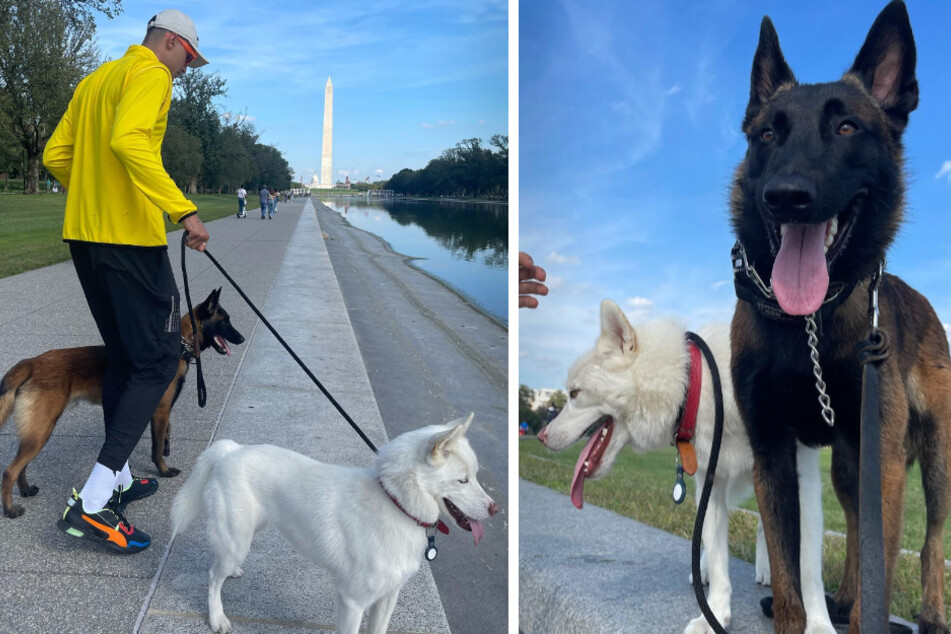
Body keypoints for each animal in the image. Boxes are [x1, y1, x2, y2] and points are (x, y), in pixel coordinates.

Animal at [0, 288, 244, 516]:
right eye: (224, 321)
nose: (241, 338)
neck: (179, 347)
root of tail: (31, 363)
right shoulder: (160, 410)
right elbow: (156, 448)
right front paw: (163, 470)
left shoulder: (161, 411)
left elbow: (166, 431)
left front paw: (167, 445)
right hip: (42, 430)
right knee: (10, 470)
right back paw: (10, 509)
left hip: (38, 431)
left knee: (21, 465)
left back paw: (25, 489)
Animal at [172, 412, 498, 628]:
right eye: (463, 480)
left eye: (475, 476)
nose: (496, 509)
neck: (395, 502)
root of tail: (231, 449)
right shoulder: (352, 601)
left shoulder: (387, 598)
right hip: (236, 540)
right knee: (213, 577)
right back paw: (217, 617)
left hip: (250, 530)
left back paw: (233, 573)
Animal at [536, 302, 772, 632]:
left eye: (574, 393)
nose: (541, 436)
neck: (695, 385)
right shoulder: (710, 473)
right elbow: (715, 545)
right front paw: (714, 614)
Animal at [728, 2, 951, 628]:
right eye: (767, 134)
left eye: (847, 128)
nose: (786, 195)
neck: (808, 327)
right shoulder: (774, 456)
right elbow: (788, 578)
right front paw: (801, 612)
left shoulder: (884, 459)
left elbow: (881, 561)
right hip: (852, 465)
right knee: (853, 525)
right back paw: (845, 596)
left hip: (933, 460)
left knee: (929, 538)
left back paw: (930, 613)